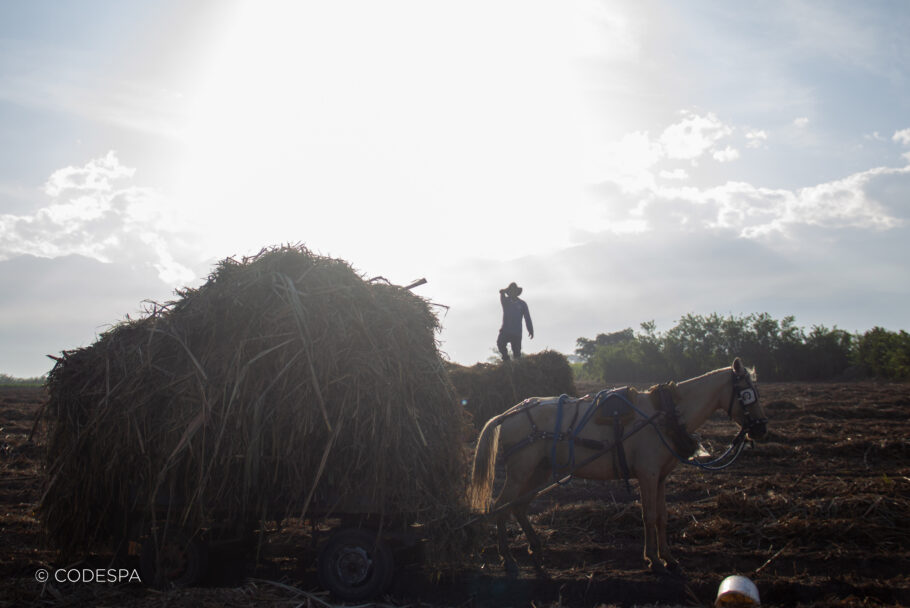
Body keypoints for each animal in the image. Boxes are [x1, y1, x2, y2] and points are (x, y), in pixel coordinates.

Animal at [470, 358, 768, 576]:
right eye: (747, 394)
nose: (762, 429)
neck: (665, 414)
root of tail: (507, 414)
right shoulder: (647, 475)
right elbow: (649, 516)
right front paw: (653, 560)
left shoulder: (661, 477)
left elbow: (663, 516)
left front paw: (669, 558)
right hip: (520, 473)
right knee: (500, 507)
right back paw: (508, 559)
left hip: (539, 472)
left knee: (518, 507)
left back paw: (536, 549)